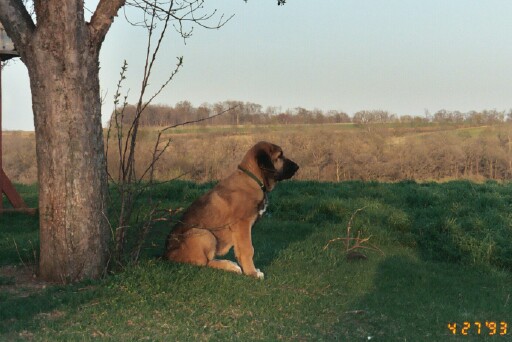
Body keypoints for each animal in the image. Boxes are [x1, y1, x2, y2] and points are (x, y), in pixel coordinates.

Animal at [164, 142, 298, 278]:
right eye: (280, 156)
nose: (297, 167)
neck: (253, 179)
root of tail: (166, 255)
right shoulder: (243, 224)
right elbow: (248, 249)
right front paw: (252, 272)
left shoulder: (240, 231)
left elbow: (240, 250)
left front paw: (248, 269)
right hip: (205, 234)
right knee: (204, 263)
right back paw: (230, 266)